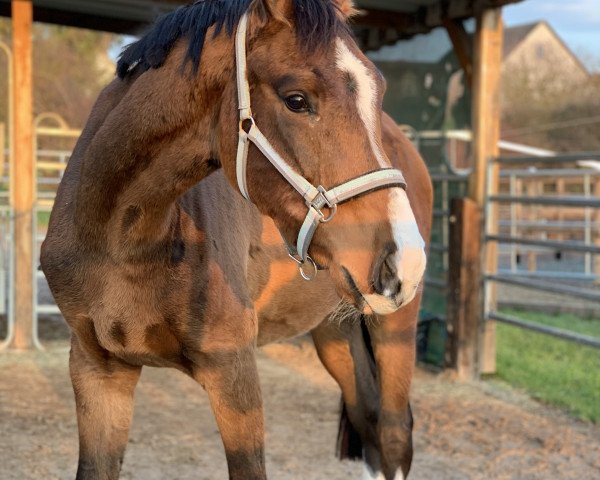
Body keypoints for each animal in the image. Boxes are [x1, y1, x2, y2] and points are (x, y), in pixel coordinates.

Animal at [41, 0, 432, 480]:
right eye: (297, 99)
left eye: (377, 91)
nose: (405, 260)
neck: (122, 242)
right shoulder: (98, 370)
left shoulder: (233, 370)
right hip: (336, 330)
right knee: (370, 423)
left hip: (395, 325)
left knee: (393, 435)